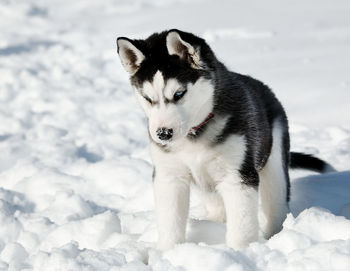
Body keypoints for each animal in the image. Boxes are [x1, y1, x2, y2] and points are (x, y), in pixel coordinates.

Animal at [116, 29, 334, 251]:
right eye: (148, 98)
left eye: (179, 93)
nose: (163, 133)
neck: (195, 134)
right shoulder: (169, 176)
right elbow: (170, 221)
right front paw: (167, 251)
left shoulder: (238, 176)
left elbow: (242, 224)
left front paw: (241, 252)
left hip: (274, 163)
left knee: (275, 204)